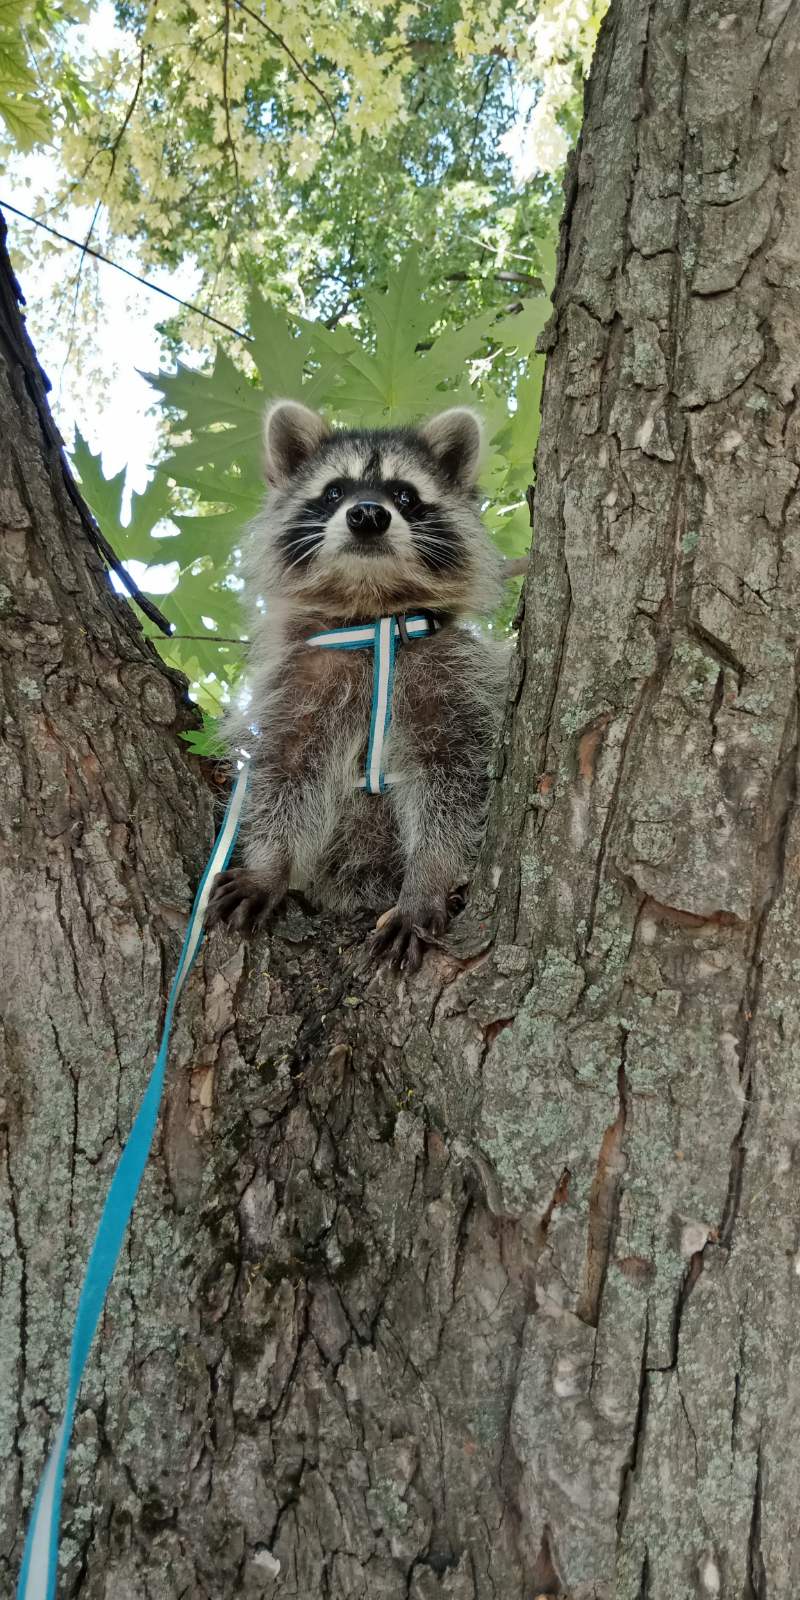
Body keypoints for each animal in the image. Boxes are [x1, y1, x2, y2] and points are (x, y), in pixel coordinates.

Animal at [206, 403, 505, 972]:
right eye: (334, 492)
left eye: (404, 495)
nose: (368, 514)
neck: (372, 614)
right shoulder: (296, 683)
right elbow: (283, 777)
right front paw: (270, 864)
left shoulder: (458, 681)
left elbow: (453, 787)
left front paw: (427, 883)